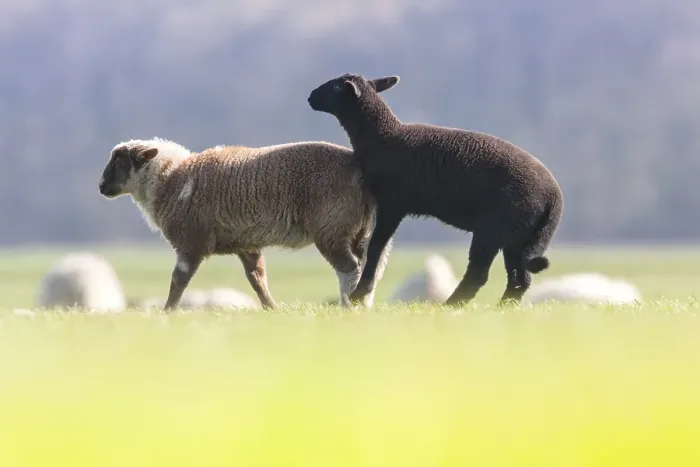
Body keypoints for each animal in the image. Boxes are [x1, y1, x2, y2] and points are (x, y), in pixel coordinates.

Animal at [98, 137, 390, 310]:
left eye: (119, 160)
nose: (100, 187)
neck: (169, 179)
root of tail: (361, 172)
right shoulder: (246, 245)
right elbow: (257, 280)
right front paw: (272, 310)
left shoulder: (191, 243)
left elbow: (177, 282)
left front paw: (167, 312)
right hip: (361, 229)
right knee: (369, 268)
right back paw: (363, 305)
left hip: (332, 227)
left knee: (349, 268)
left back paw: (349, 307)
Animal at [307, 73, 564, 307]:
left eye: (336, 86)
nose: (310, 97)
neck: (382, 137)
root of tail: (554, 199)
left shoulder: (392, 204)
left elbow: (376, 247)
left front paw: (360, 293)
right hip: (520, 236)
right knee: (520, 279)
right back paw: (502, 309)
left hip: (494, 228)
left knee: (479, 275)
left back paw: (449, 306)